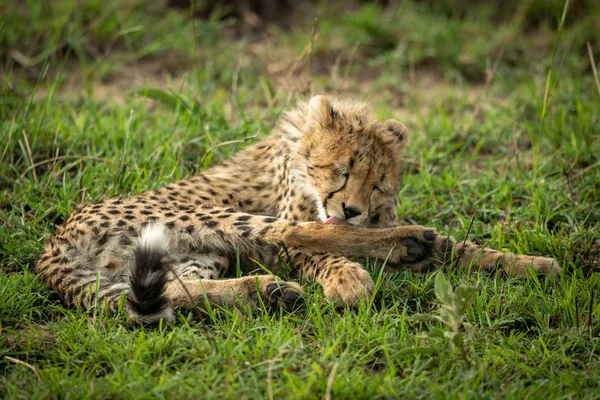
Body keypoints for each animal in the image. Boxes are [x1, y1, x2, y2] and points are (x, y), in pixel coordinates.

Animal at [35, 95, 560, 324]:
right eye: (343, 171)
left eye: (377, 184)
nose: (352, 209)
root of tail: (53, 244)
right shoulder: (298, 219)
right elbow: (313, 242)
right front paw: (349, 279)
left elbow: (461, 246)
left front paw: (533, 265)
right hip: (207, 218)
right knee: (298, 233)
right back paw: (401, 245)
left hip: (195, 255)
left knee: (170, 291)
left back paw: (264, 293)